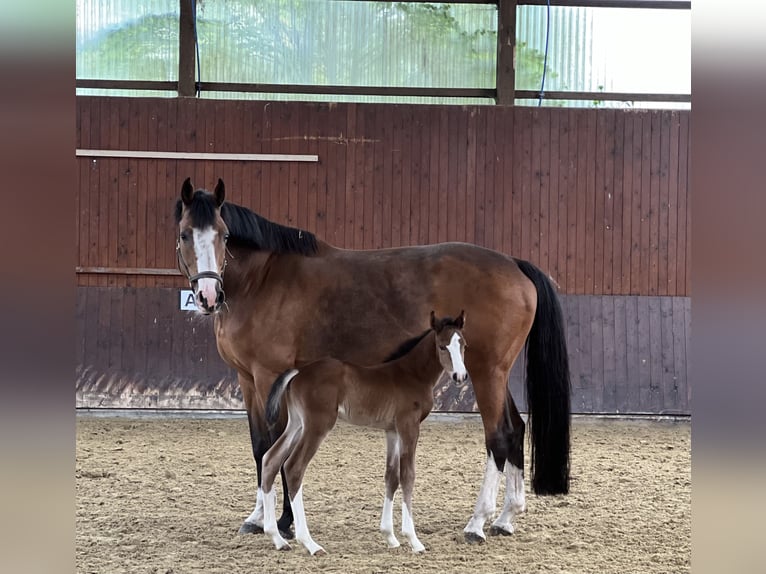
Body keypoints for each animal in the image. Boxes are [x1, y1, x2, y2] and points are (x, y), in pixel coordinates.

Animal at [260, 311, 468, 555]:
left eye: (463, 344)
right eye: (442, 346)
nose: (460, 376)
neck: (412, 374)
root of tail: (298, 372)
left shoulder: (392, 431)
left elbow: (391, 477)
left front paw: (390, 537)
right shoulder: (409, 426)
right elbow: (408, 475)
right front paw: (414, 540)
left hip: (296, 424)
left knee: (270, 459)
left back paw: (277, 538)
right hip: (317, 425)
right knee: (294, 467)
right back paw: (310, 543)